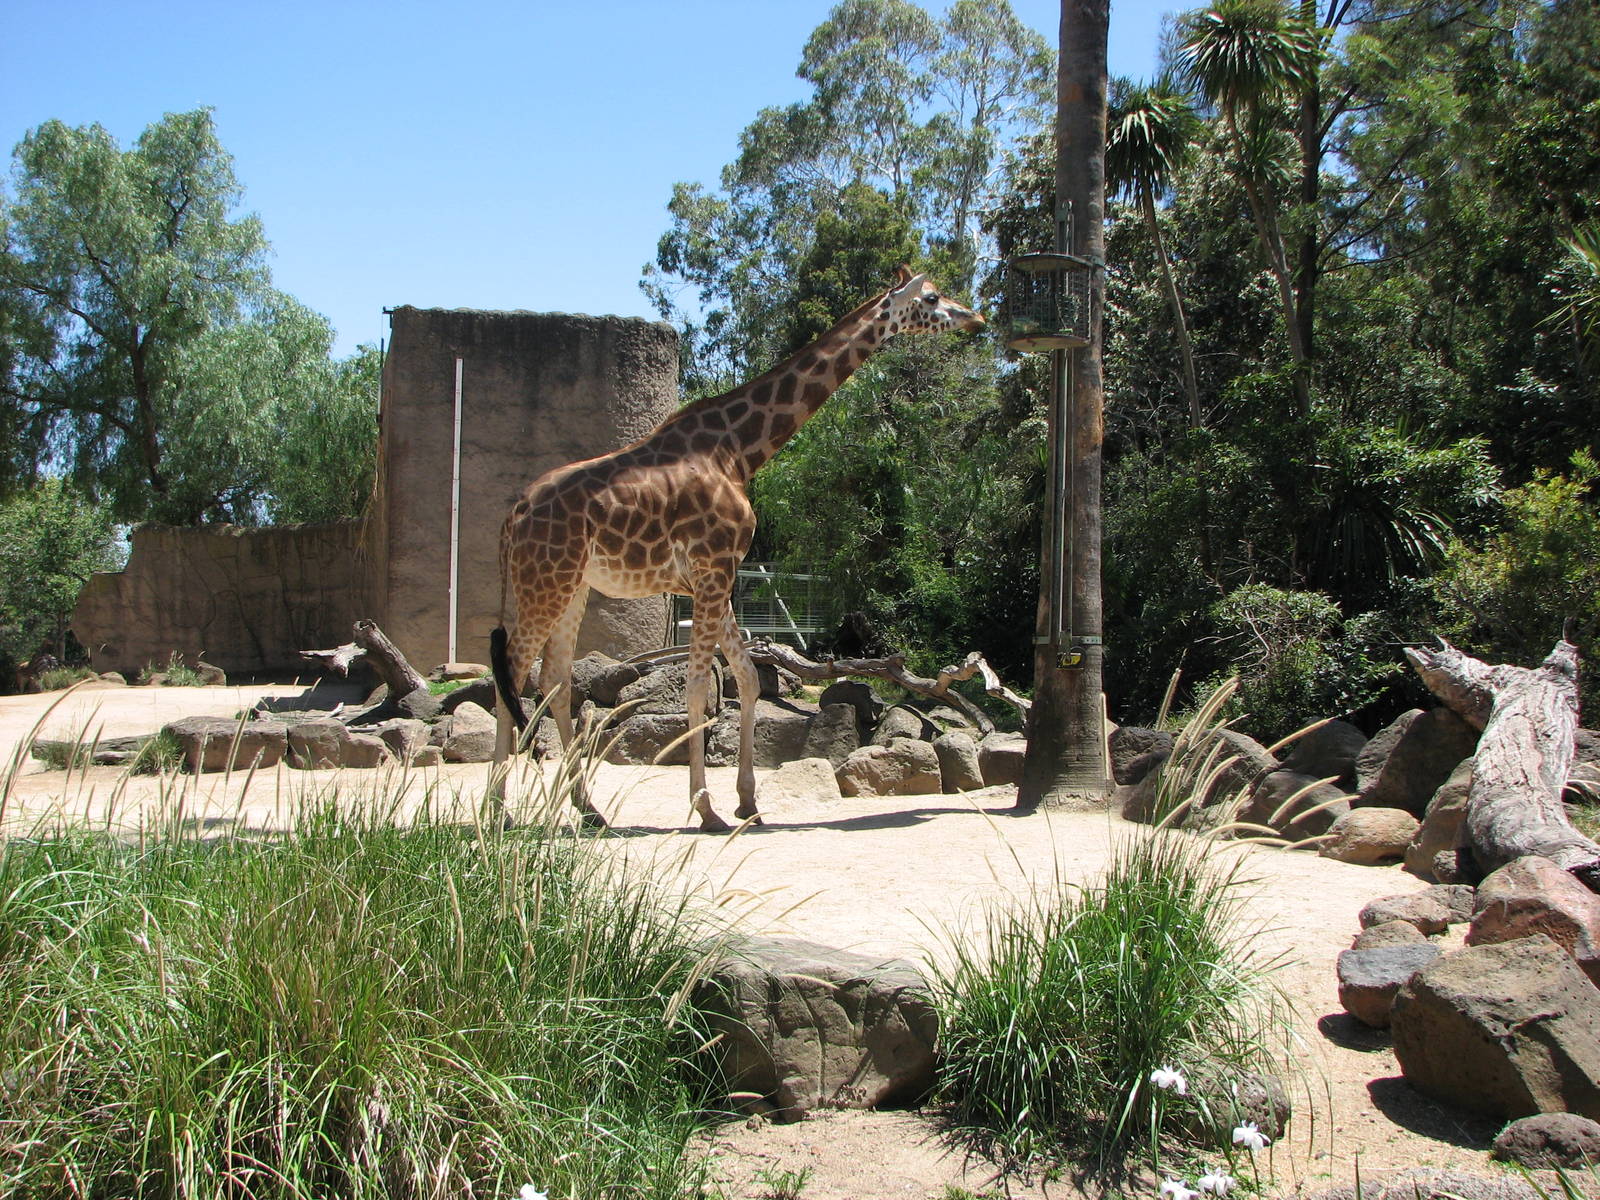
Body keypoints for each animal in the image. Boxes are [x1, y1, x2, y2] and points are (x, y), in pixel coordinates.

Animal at [489, 266, 985, 831]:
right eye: (932, 298)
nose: (977, 319)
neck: (739, 450)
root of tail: (511, 517)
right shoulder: (712, 569)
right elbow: (698, 690)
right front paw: (706, 809)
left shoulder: (717, 577)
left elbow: (746, 680)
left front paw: (748, 802)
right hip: (544, 582)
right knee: (512, 671)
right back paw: (497, 812)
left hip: (571, 586)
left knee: (554, 678)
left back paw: (587, 809)